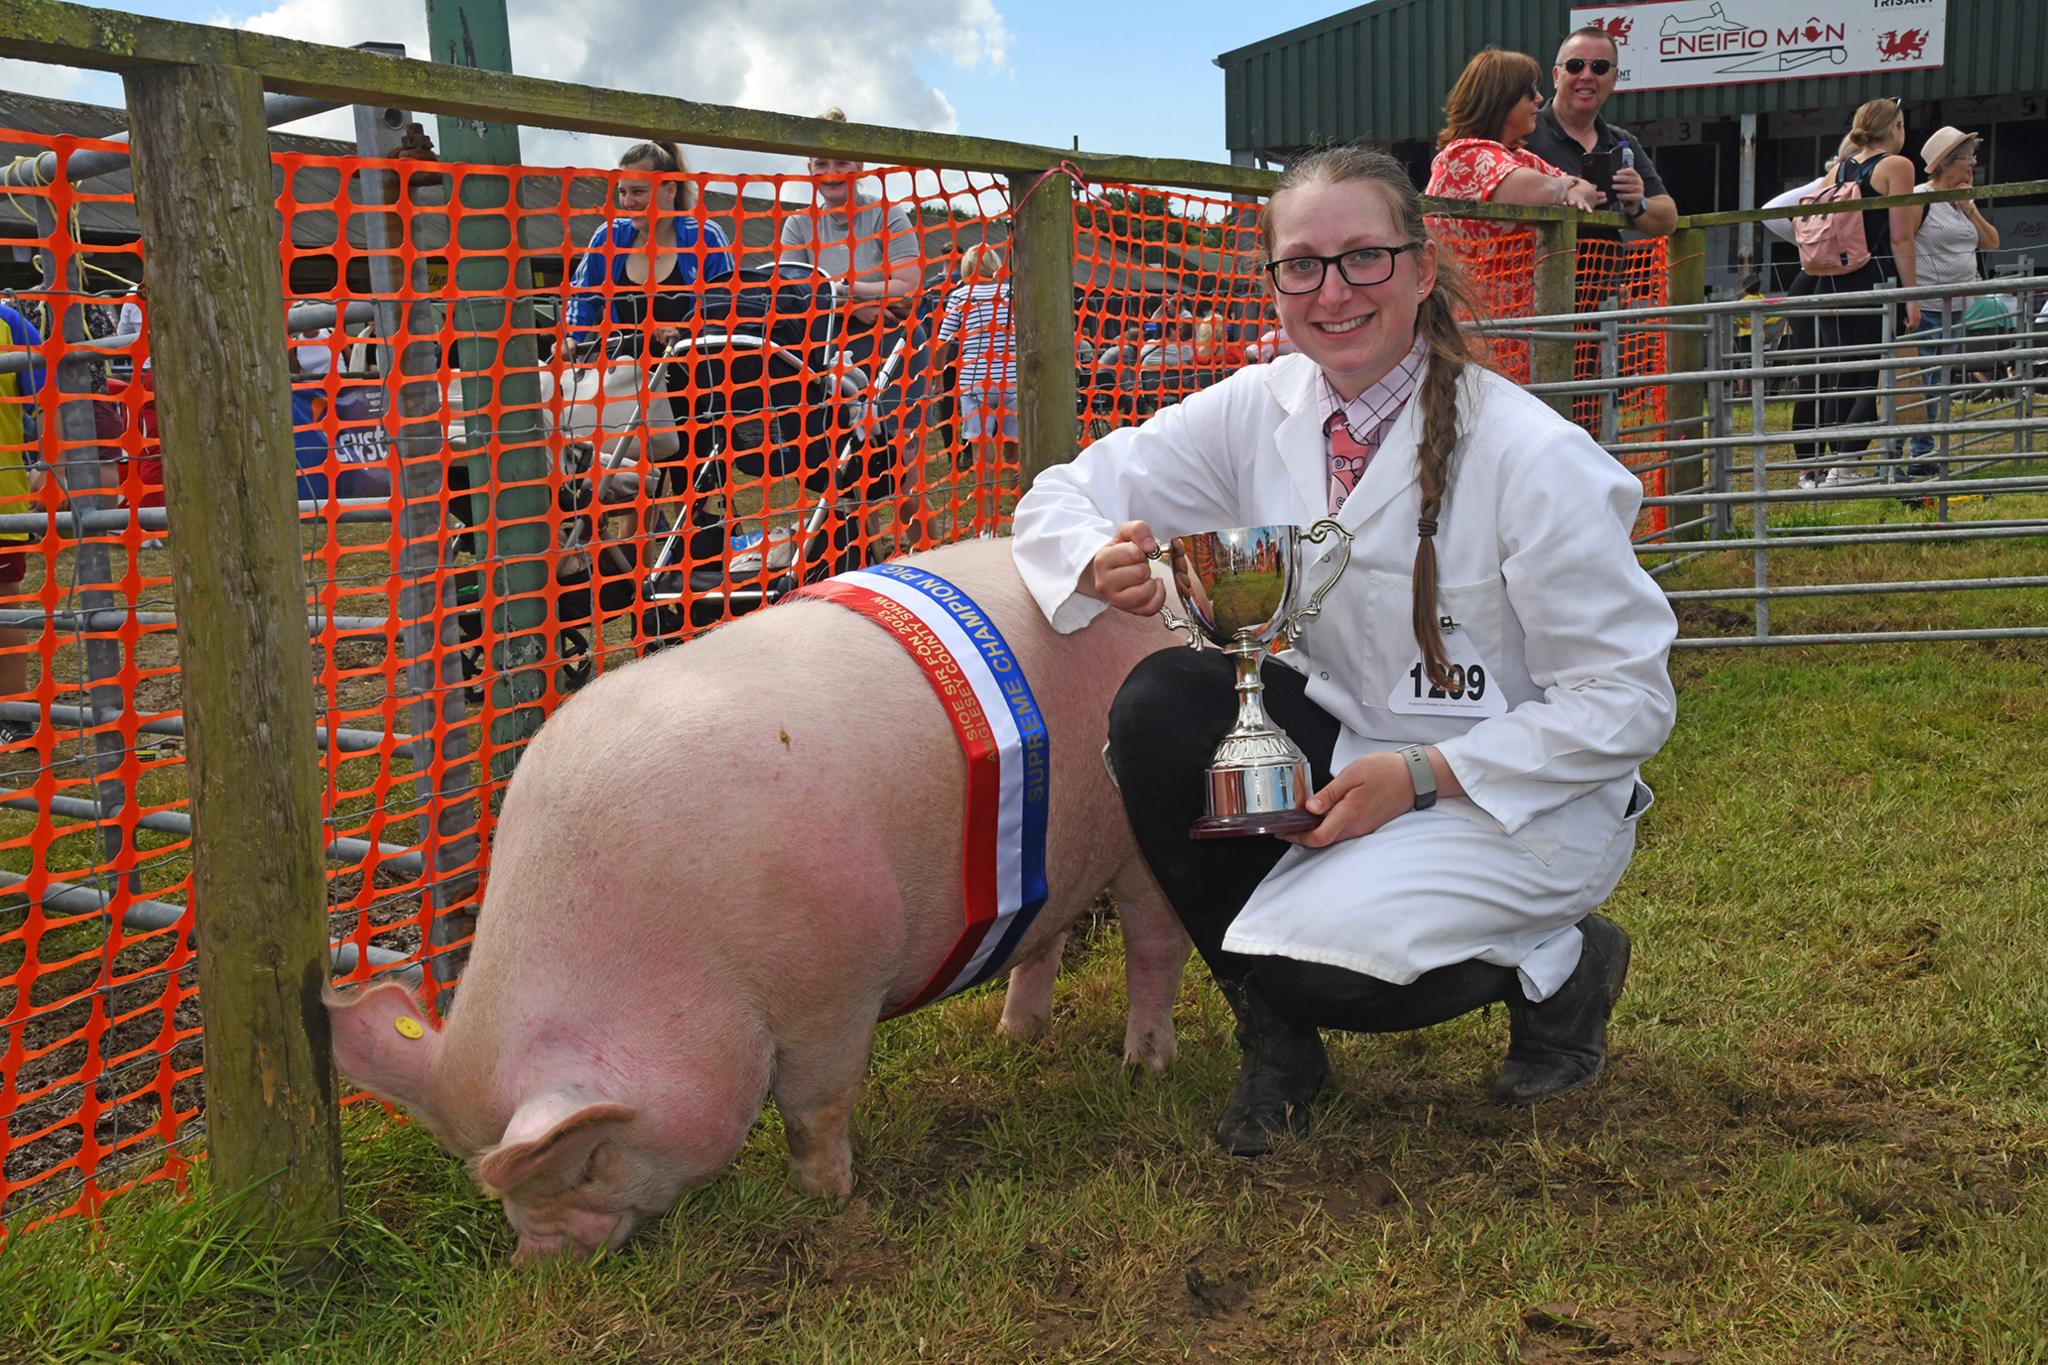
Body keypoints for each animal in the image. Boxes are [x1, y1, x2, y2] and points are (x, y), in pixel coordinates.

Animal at [327, 540, 1196, 1268]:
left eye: (591, 1161)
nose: (538, 1260)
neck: (676, 946)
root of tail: (1163, 594)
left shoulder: (839, 978)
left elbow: (814, 1101)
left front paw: (825, 1197)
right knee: (1043, 936)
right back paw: (1015, 1036)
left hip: (1138, 841)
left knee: (1155, 943)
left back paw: (1143, 1066)